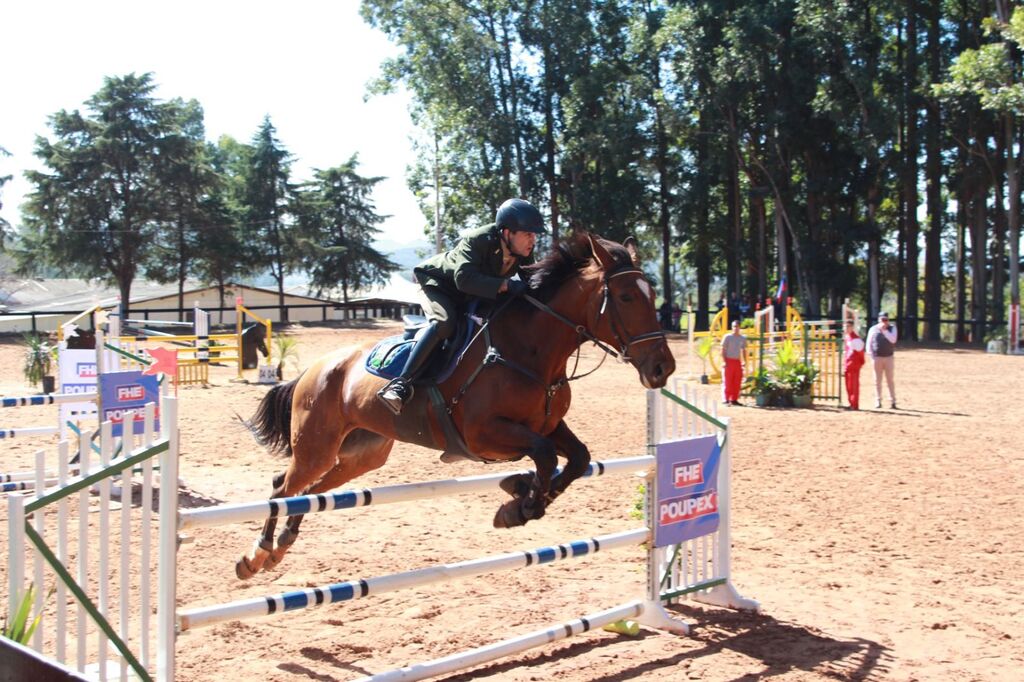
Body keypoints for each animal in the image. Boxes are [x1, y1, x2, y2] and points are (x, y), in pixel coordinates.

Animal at [235, 231, 675, 577]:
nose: (662, 368)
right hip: (316, 446)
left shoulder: (548, 425)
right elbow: (545, 456)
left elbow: (576, 458)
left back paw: (283, 544)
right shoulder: (484, 435)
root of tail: (317, 368)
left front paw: (522, 496)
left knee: (312, 492)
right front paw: (519, 505)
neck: (529, 350)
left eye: (652, 295)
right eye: (624, 297)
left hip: (362, 454)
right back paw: (256, 556)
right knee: (283, 486)